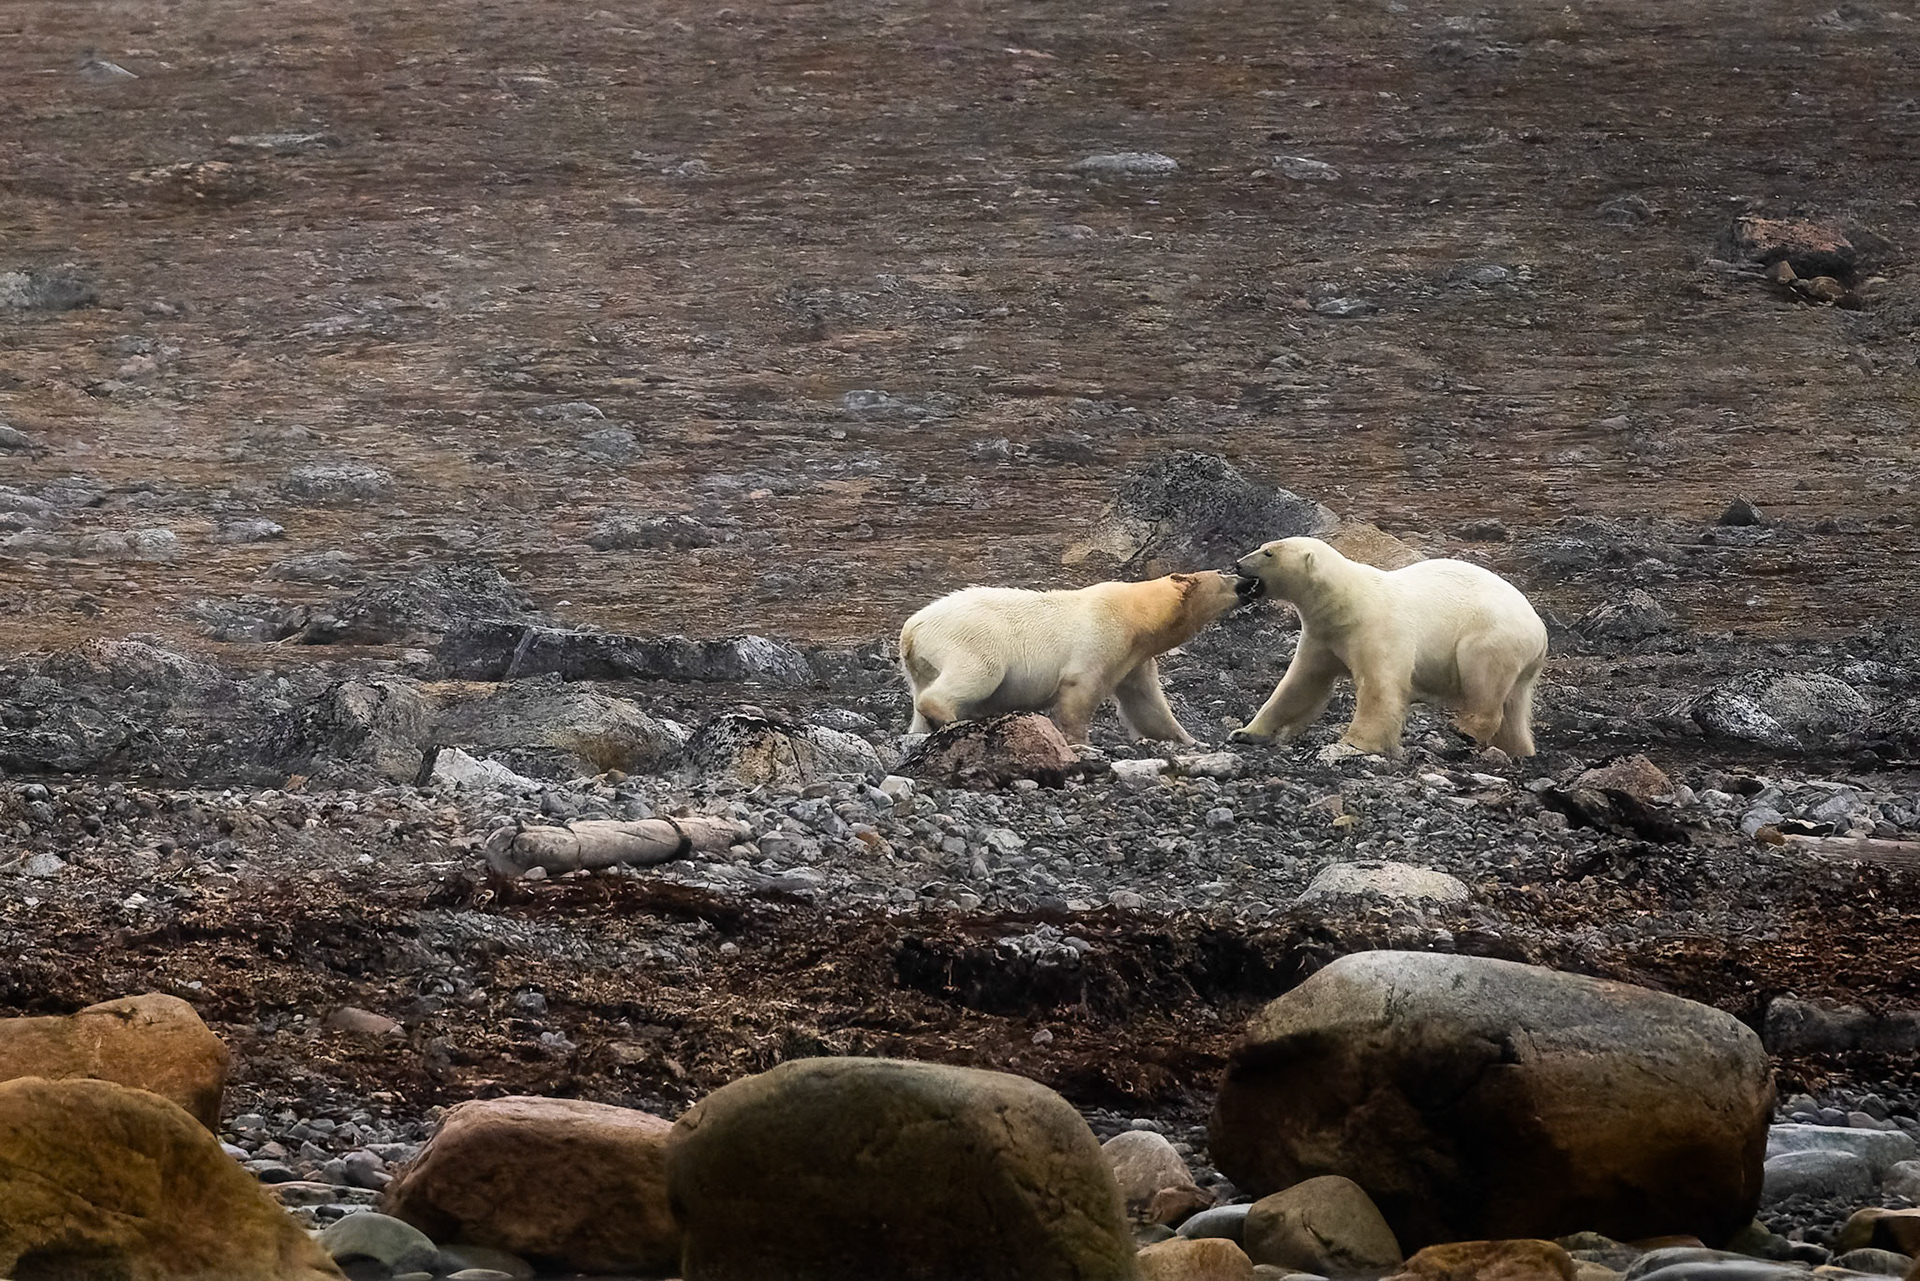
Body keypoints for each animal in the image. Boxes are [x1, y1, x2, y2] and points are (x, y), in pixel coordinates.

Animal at [899, 570, 1253, 745]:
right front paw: (1081, 742)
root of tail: (911, 630)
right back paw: (949, 716)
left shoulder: (1135, 658)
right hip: (970, 639)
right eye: (1223, 575)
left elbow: (1146, 703)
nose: (1247, 581)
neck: (1138, 615)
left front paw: (1191, 741)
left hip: (919, 666)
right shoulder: (1103, 637)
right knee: (979, 674)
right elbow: (1081, 690)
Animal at [1229, 536, 1547, 758]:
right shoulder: (1323, 637)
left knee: (1483, 677)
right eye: (1264, 546)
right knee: (1515, 706)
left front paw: (1356, 742)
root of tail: (1540, 631)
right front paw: (1245, 732)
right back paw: (1518, 749)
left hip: (1492, 635)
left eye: (1269, 552)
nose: (1238, 563)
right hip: (1522, 664)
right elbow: (1300, 685)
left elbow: (1380, 687)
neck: (1346, 603)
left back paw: (1466, 728)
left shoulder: (1377, 629)